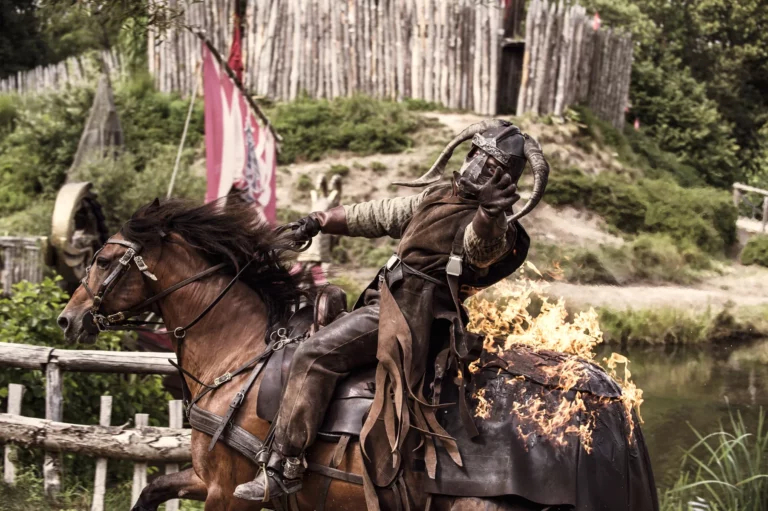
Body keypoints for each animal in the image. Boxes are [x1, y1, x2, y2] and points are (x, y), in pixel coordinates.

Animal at [58, 200, 656, 511]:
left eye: (104, 258)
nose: (69, 317)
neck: (239, 353)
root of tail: (607, 400)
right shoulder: (204, 480)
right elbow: (150, 490)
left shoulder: (226, 492)